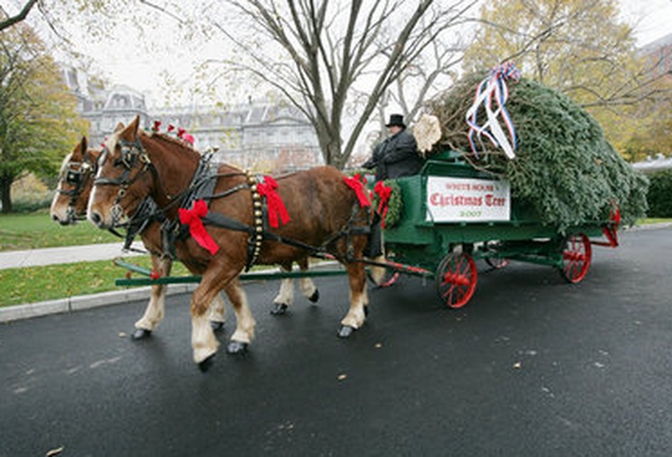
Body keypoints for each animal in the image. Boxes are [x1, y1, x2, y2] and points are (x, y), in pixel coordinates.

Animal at [86, 116, 378, 368]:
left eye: (121, 162)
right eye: (97, 164)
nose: (95, 214)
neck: (199, 197)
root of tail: (351, 179)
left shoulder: (226, 260)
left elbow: (198, 300)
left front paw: (203, 349)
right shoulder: (209, 262)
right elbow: (231, 296)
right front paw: (241, 333)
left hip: (346, 243)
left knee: (356, 275)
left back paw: (352, 318)